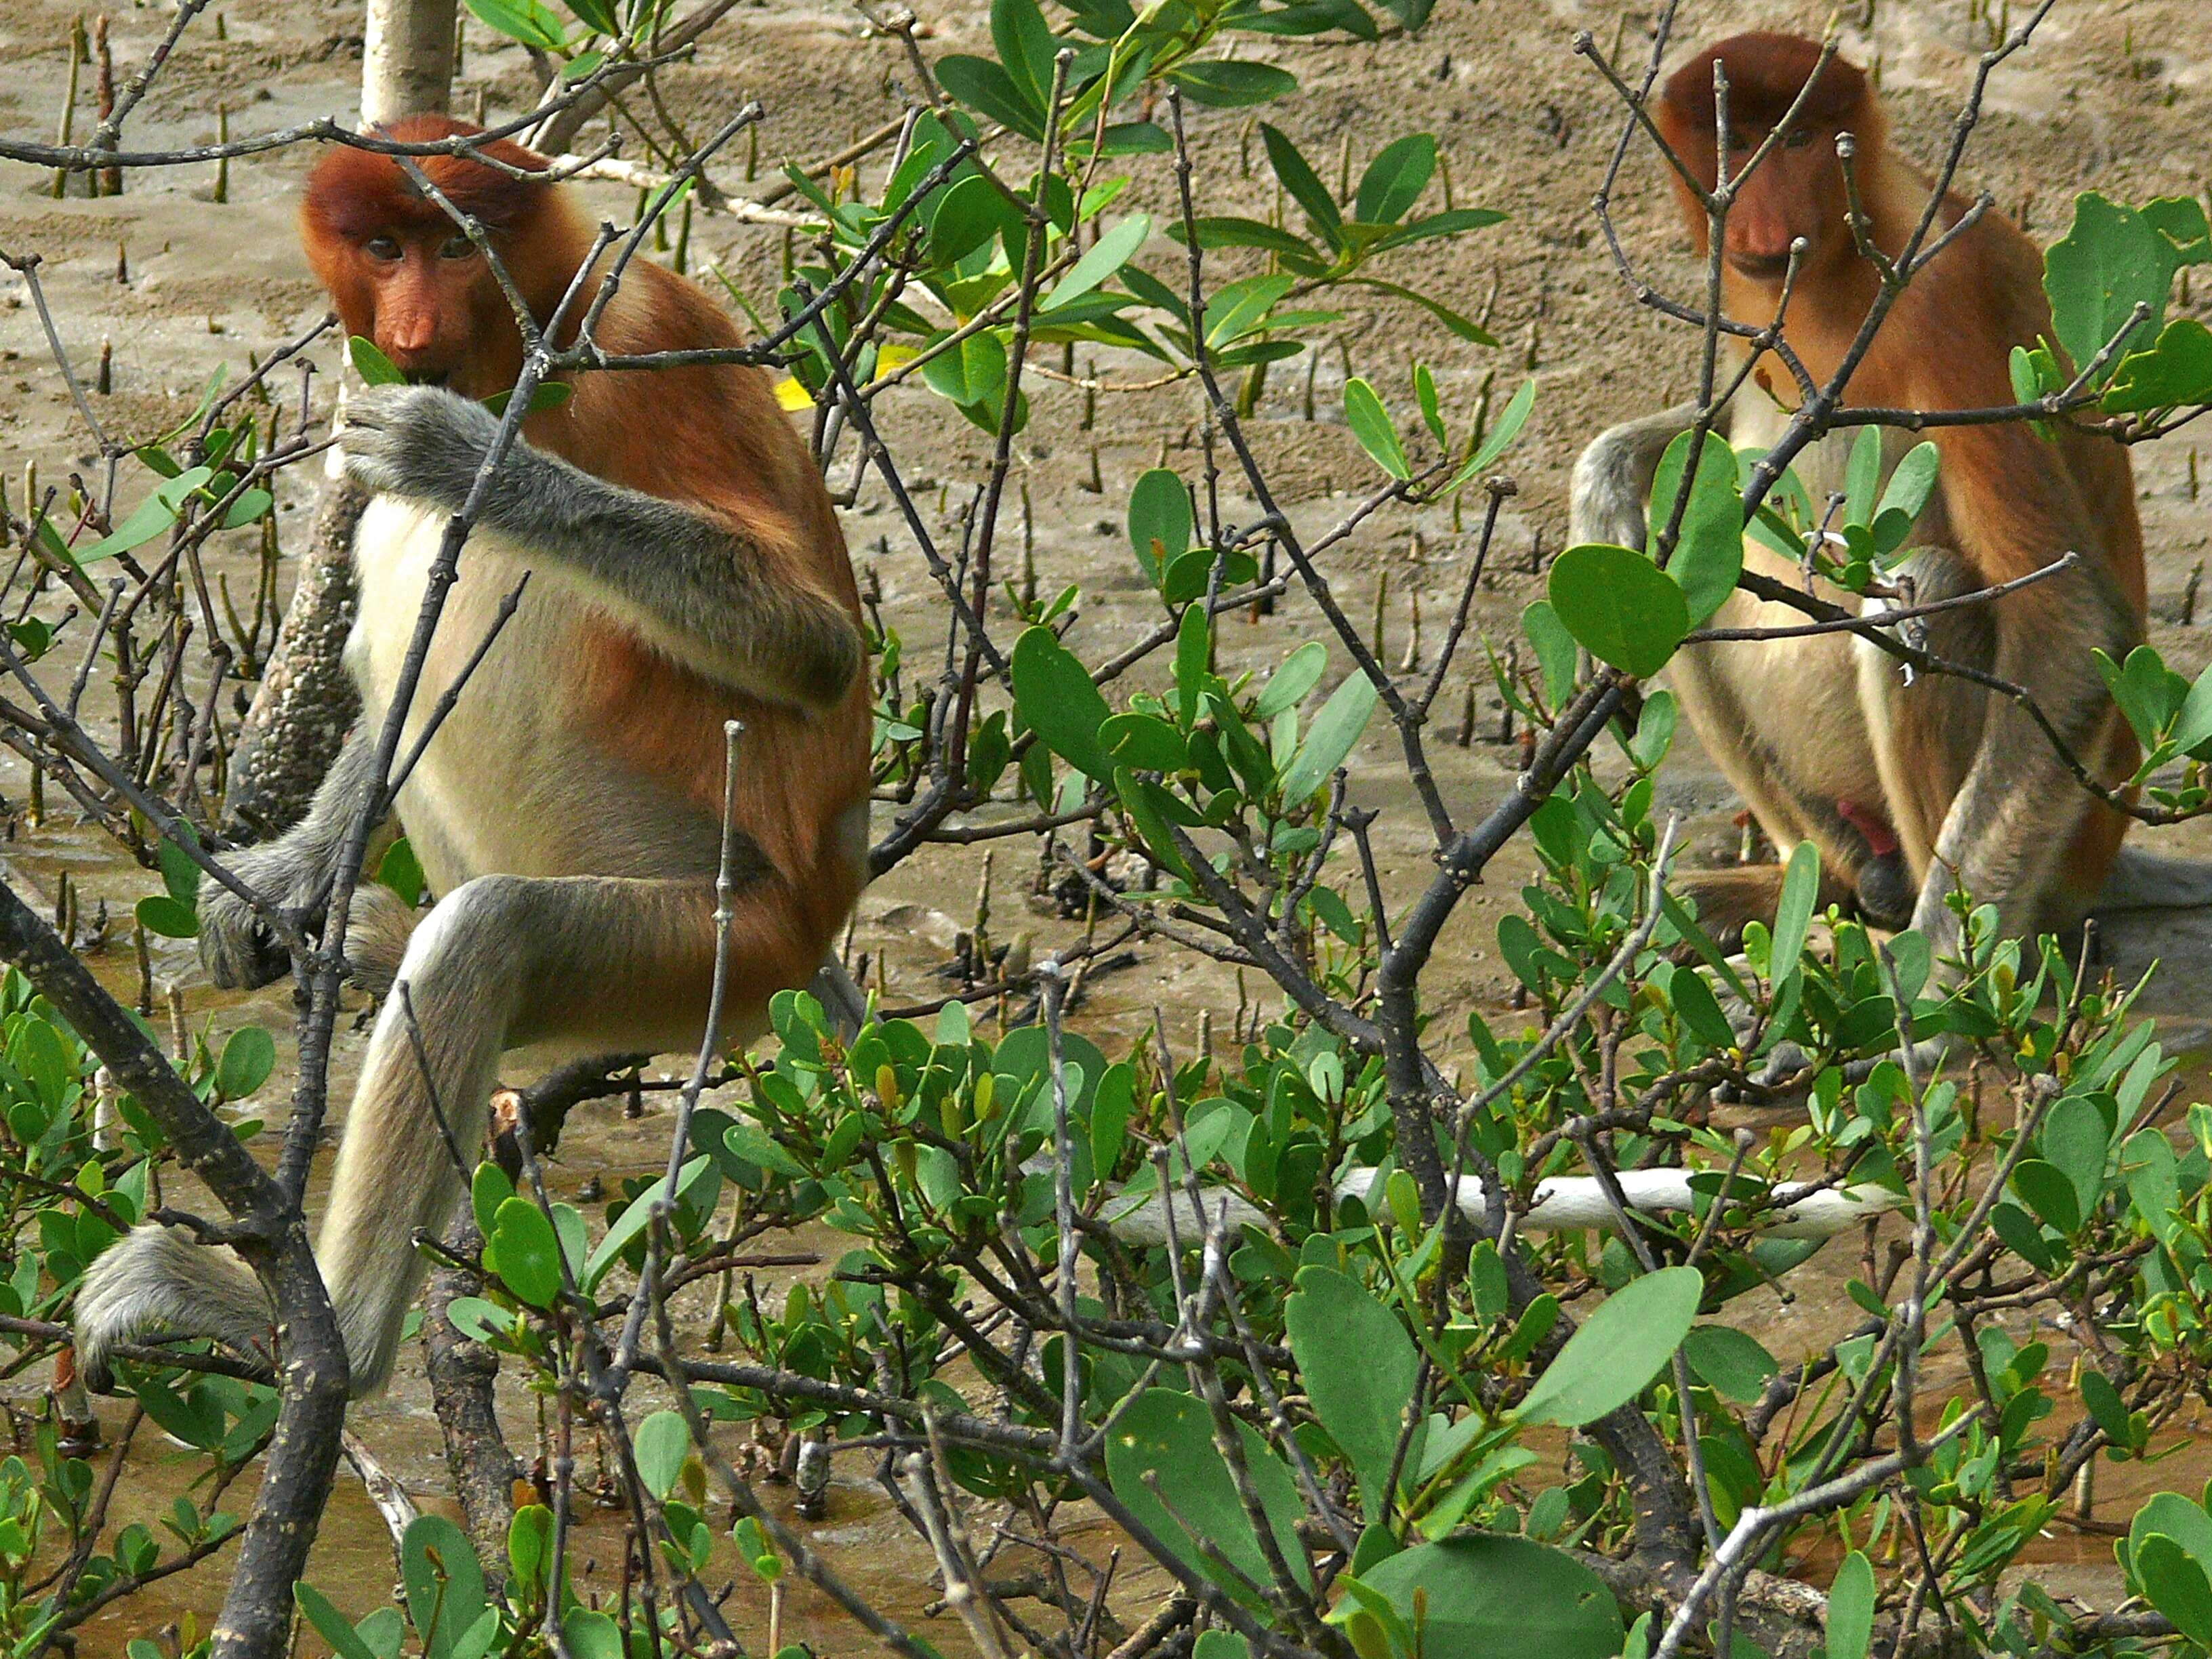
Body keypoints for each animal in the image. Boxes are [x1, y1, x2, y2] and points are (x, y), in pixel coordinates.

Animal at [80, 114, 872, 1406]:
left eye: (455, 249)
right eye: (382, 247)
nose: (406, 335)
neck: (536, 332)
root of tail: (818, 921)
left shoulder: (644, 343)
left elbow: (812, 650)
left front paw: (454, 452)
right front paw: (283, 876)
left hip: (717, 937)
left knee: (491, 929)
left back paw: (335, 1340)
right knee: (389, 580)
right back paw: (368, 938)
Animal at [1574, 32, 2158, 968]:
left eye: (1802, 141)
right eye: (1740, 144)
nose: (1760, 223)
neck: (1847, 258)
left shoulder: (1948, 305)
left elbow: (2069, 622)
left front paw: (1935, 971)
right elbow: (1715, 451)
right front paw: (1604, 489)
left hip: (2065, 854)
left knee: (1928, 589)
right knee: (1684, 558)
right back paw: (1799, 891)